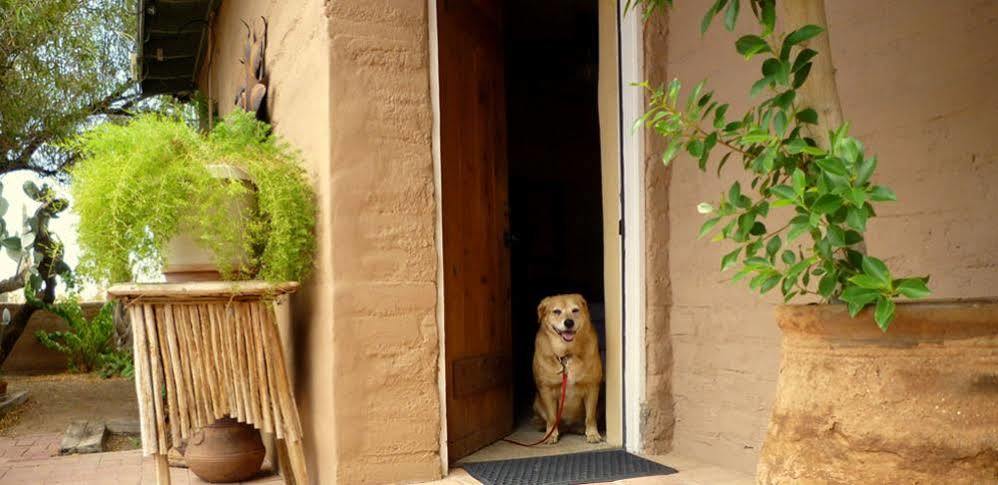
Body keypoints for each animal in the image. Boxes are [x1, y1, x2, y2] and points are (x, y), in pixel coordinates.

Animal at [536, 292, 604, 442]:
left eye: (575, 310)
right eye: (556, 311)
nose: (569, 322)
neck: (567, 354)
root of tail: (568, 427)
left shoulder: (592, 387)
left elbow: (590, 416)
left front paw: (592, 433)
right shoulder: (547, 389)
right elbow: (552, 417)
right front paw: (551, 434)